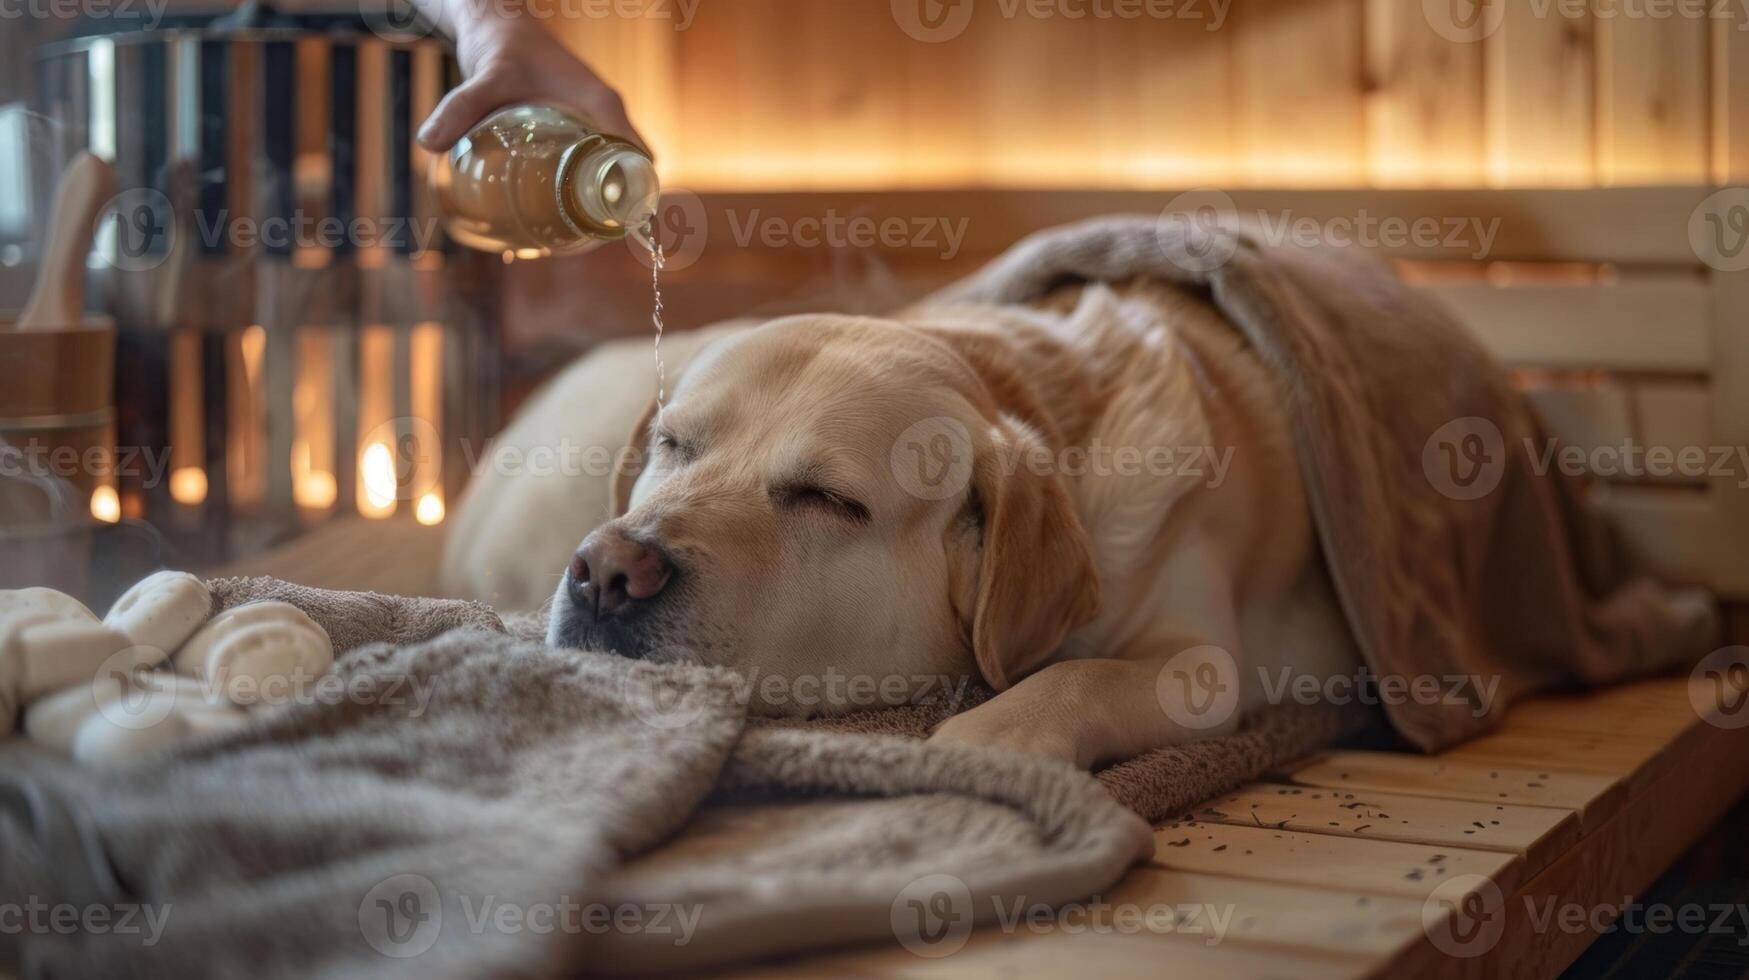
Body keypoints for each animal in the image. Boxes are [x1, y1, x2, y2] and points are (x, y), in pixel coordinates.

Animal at [538, 283, 1357, 766]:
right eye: (673, 444)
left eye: (827, 499)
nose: (606, 571)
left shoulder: (1200, 662)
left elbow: (1081, 672)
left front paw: (987, 738)